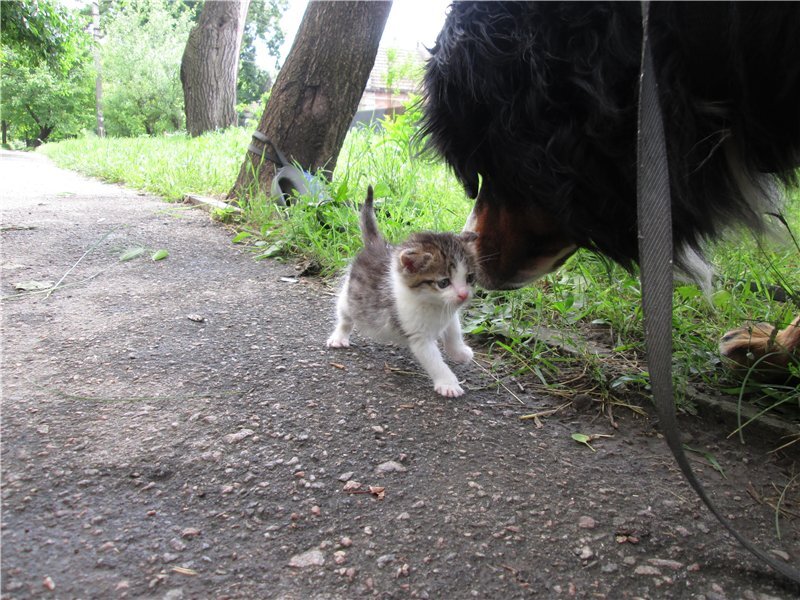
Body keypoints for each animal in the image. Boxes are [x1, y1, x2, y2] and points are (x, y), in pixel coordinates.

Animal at [324, 185, 476, 396]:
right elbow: (435, 361)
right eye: (444, 282)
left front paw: (460, 353)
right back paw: (339, 336)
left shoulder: (450, 313)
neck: (433, 304)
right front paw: (448, 383)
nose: (463, 294)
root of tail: (376, 246)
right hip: (350, 297)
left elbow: (454, 332)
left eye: (469, 278)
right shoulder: (418, 336)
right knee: (345, 317)